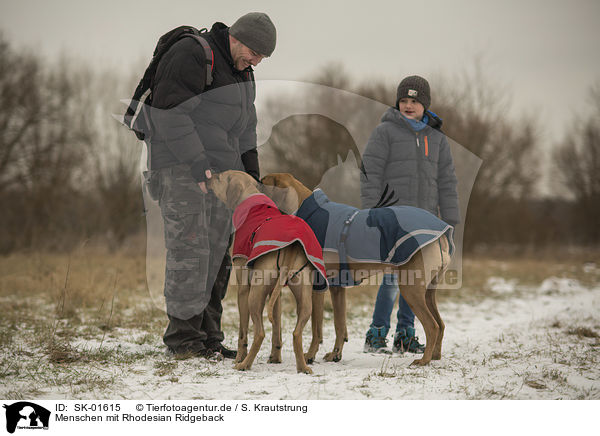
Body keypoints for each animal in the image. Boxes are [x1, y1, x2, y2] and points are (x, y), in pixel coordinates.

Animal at [260, 172, 452, 366]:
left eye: (262, 182)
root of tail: (441, 235)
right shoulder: (337, 287)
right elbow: (339, 325)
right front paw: (335, 354)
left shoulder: (318, 285)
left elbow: (316, 328)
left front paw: (310, 355)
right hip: (427, 292)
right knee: (441, 324)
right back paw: (435, 355)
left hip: (411, 289)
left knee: (432, 325)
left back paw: (424, 360)